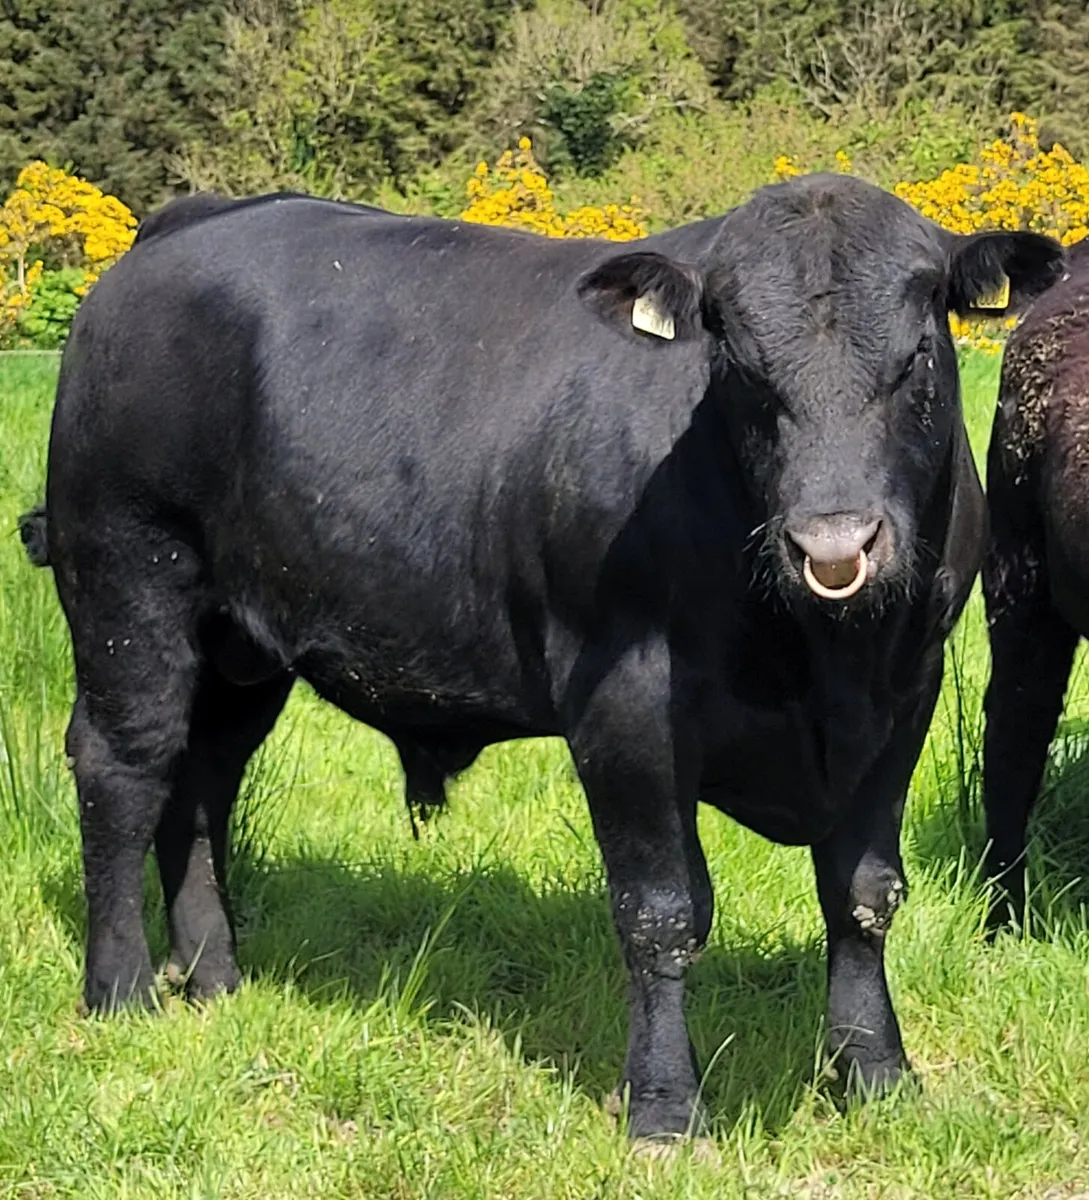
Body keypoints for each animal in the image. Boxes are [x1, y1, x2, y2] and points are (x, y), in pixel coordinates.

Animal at [23, 179, 1062, 1139]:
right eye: (736, 363)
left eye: (918, 354)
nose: (835, 544)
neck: (821, 653)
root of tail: (185, 224)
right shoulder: (624, 700)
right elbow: (660, 909)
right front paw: (664, 1109)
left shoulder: (903, 695)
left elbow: (862, 894)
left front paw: (879, 1078)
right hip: (128, 582)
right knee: (126, 767)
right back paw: (121, 989)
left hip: (241, 644)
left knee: (204, 780)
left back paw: (213, 975)